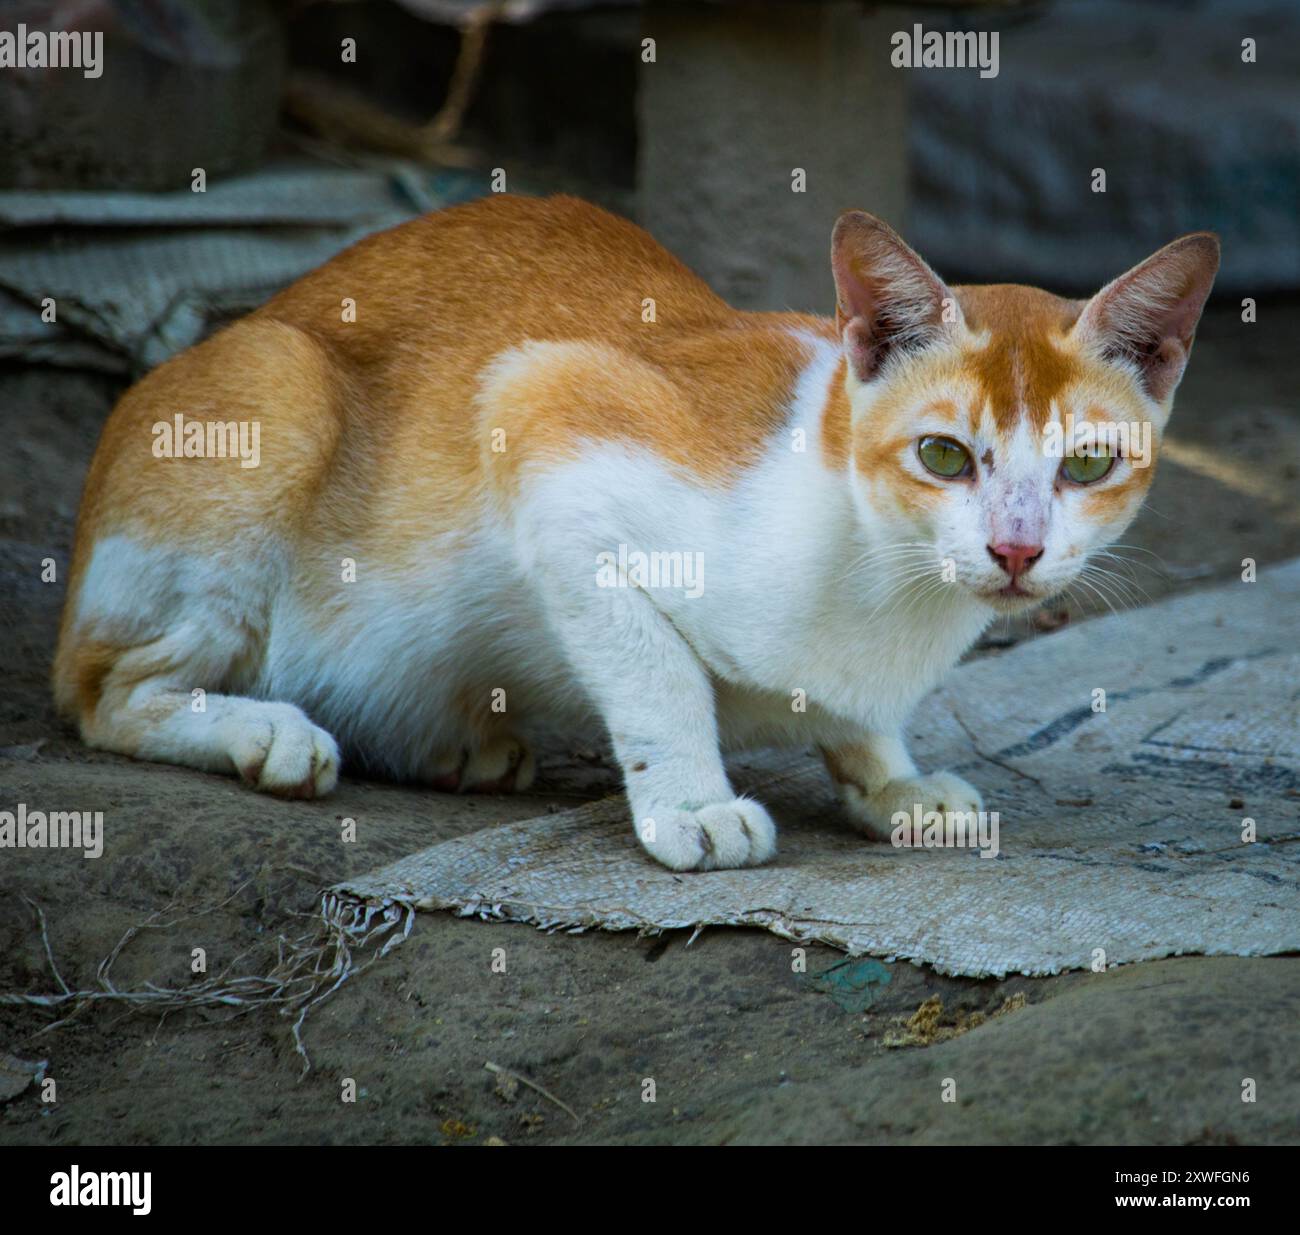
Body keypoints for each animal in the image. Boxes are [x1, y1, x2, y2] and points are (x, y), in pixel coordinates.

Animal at [50, 196, 1216, 868]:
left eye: (1085, 464)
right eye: (943, 456)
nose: (1016, 551)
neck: (884, 580)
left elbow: (860, 718)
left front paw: (887, 777)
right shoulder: (542, 410)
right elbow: (659, 674)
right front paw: (693, 802)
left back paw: (453, 741)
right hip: (281, 388)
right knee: (103, 692)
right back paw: (267, 730)